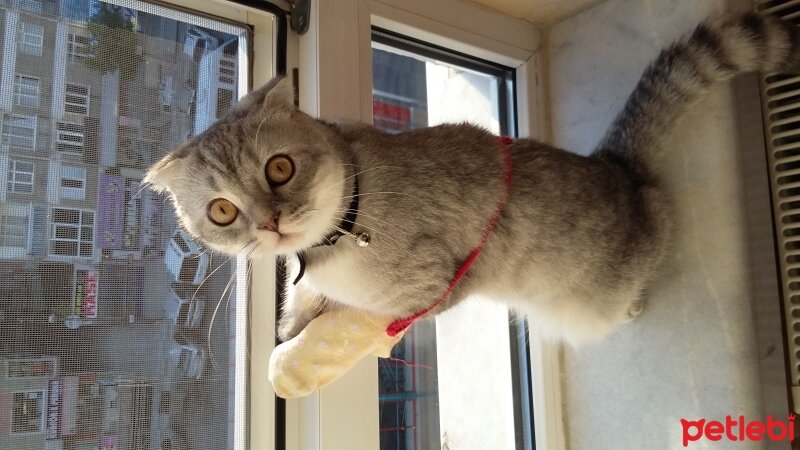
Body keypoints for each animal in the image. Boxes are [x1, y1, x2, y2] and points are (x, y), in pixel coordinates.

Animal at [144, 12, 800, 346]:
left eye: (279, 168)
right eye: (223, 212)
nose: (271, 223)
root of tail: (614, 165)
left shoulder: (437, 284)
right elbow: (300, 313)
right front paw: (291, 327)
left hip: (623, 271)